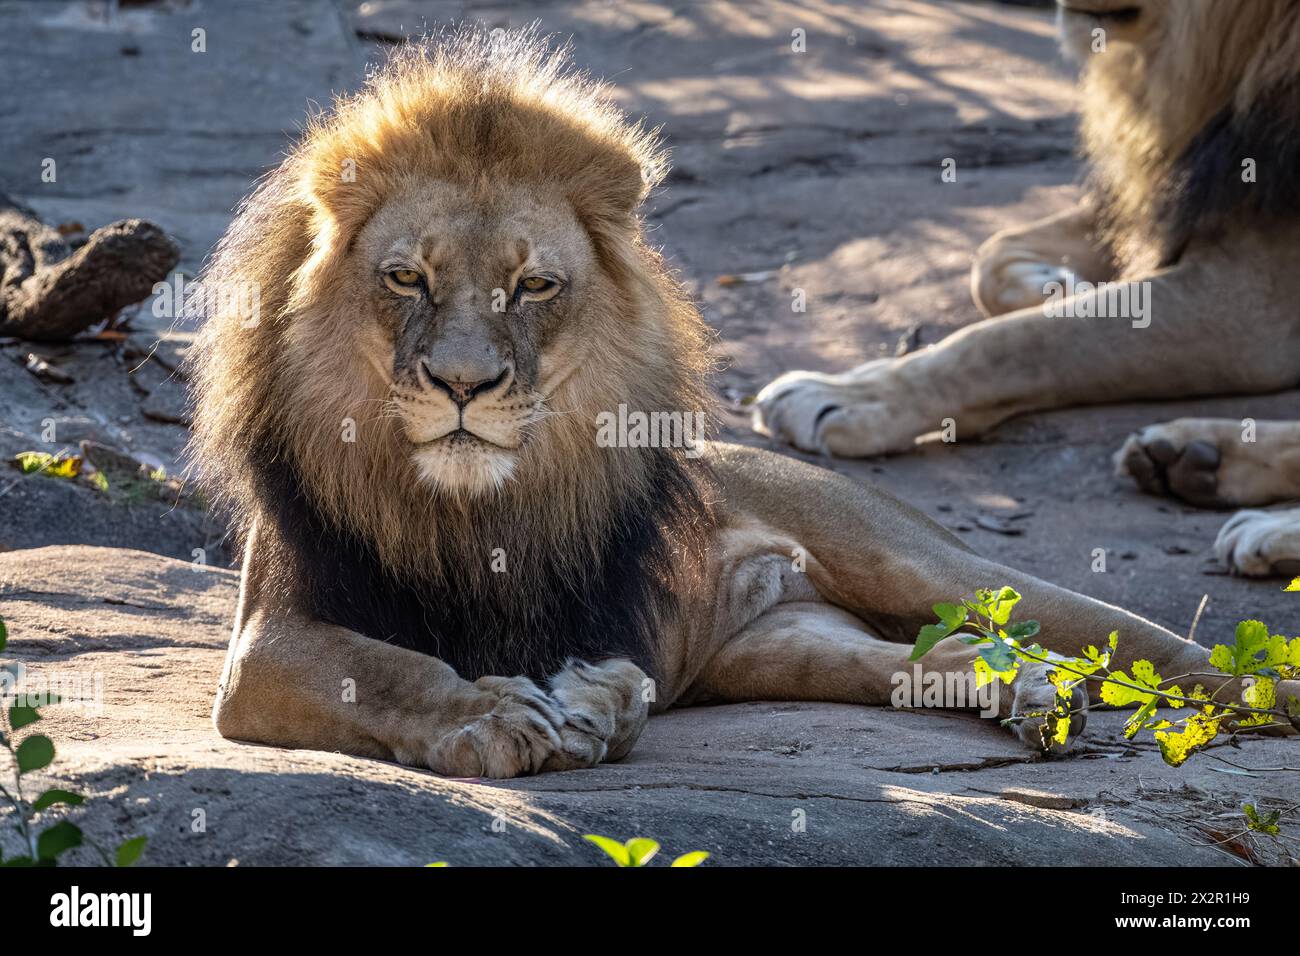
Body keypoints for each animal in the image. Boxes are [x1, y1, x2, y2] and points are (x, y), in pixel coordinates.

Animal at [754, 0, 1300, 574]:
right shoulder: (1171, 198)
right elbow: (991, 257)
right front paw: (1055, 284)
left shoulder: (1252, 307)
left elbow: (1009, 343)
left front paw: (841, 396)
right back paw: (1193, 455)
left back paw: (1260, 520)